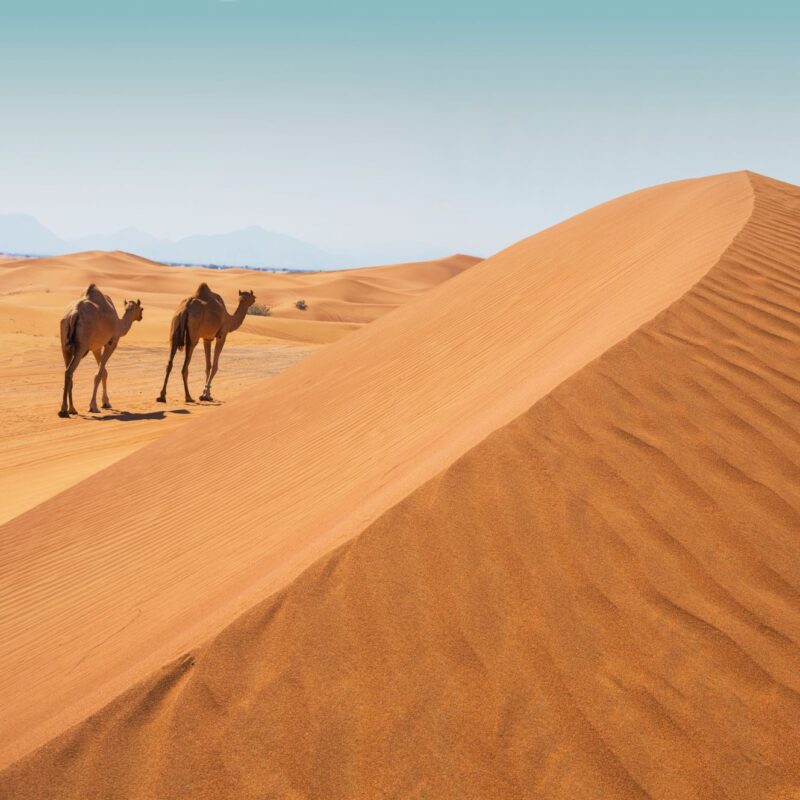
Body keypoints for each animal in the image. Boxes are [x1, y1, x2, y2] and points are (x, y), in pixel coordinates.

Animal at [59, 282, 144, 418]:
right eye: (142, 309)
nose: (141, 317)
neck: (119, 324)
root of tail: (74, 314)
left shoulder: (96, 347)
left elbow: (104, 372)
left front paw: (106, 402)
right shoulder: (112, 342)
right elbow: (99, 374)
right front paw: (93, 406)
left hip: (64, 343)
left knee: (68, 372)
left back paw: (72, 409)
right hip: (81, 346)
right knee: (69, 371)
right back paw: (64, 410)